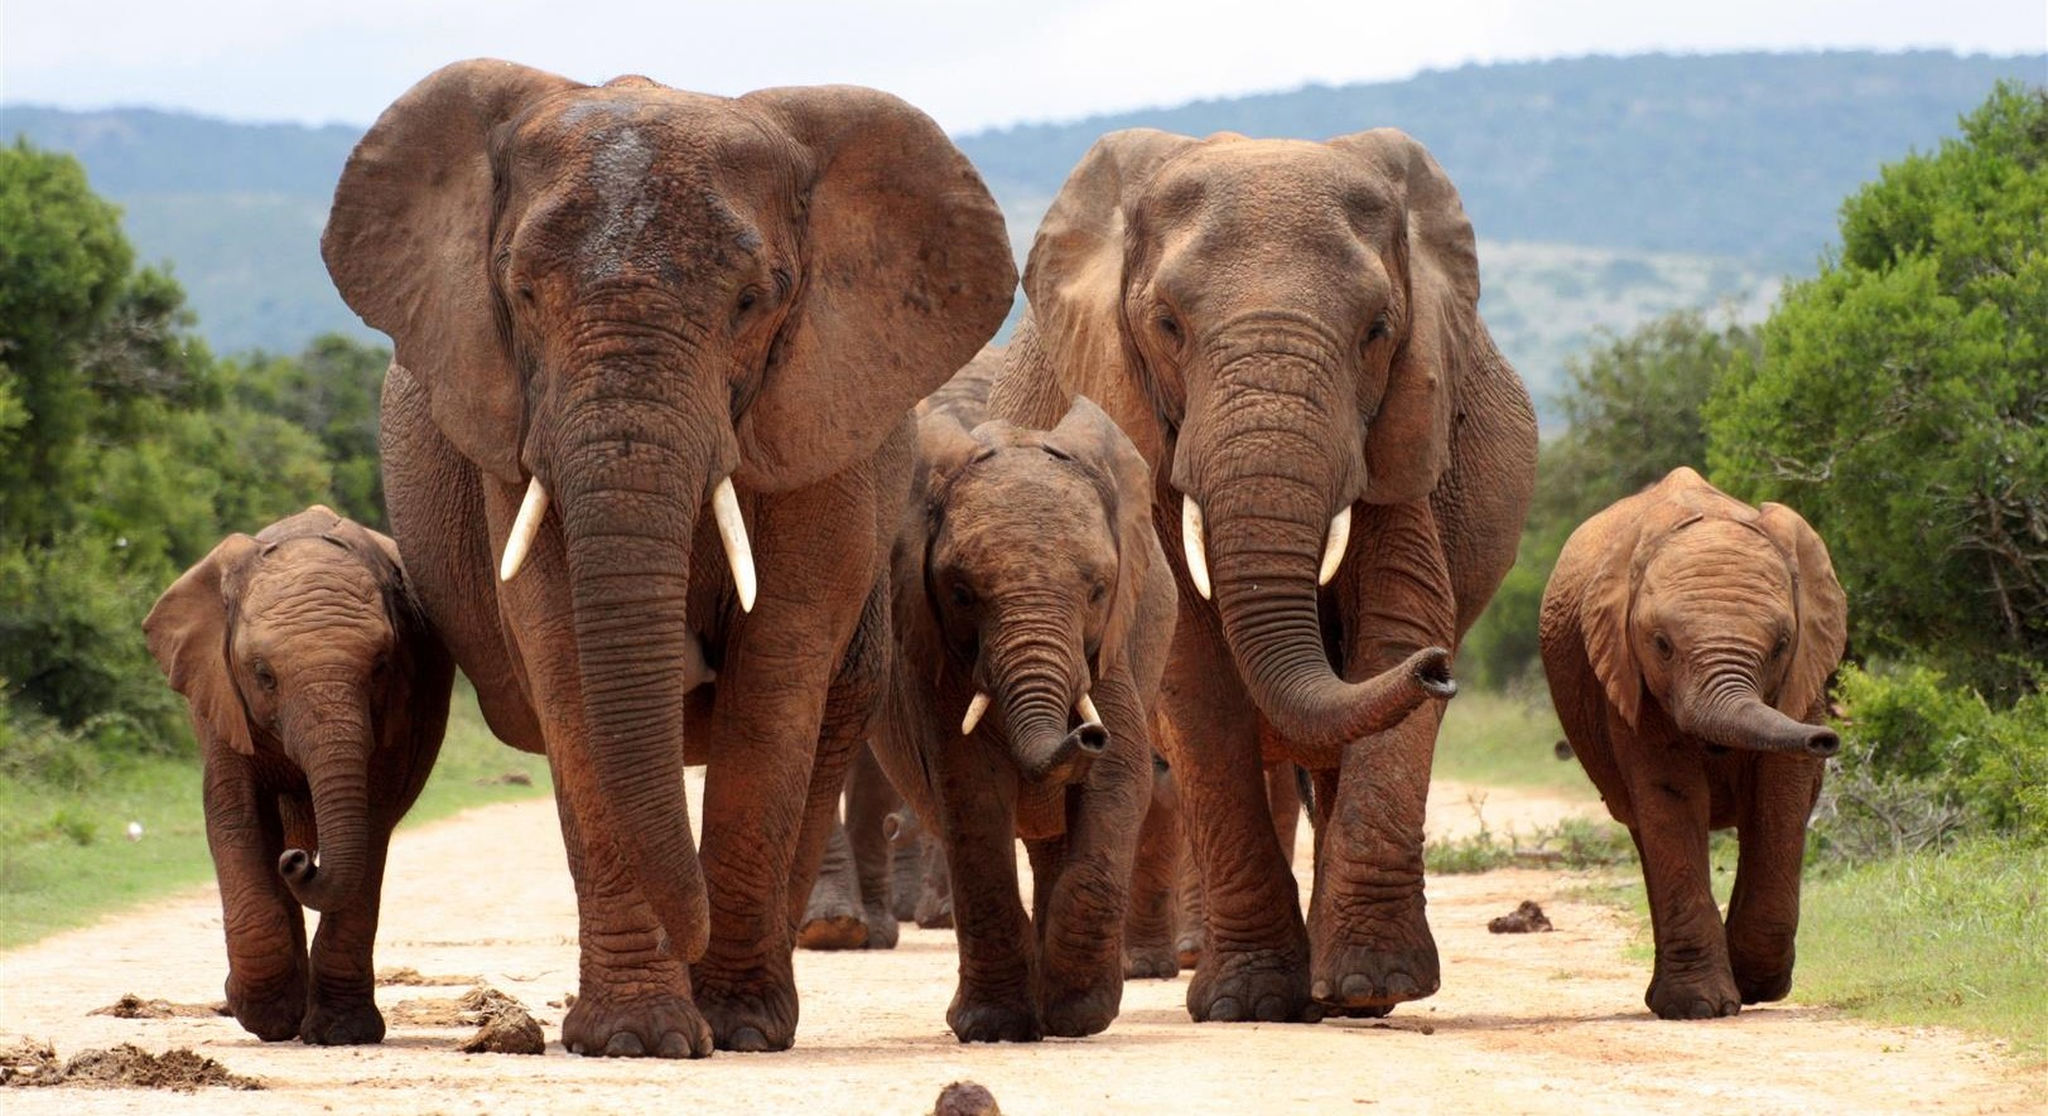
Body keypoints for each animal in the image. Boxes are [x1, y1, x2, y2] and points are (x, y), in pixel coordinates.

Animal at [146, 503, 458, 1044]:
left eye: (381, 666)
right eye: (262, 674)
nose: (298, 860)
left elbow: (370, 827)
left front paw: (340, 1032)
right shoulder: (220, 695)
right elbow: (236, 815)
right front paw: (267, 1018)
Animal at [319, 58, 1015, 1056]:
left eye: (752, 302)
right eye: (522, 295)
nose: (691, 936)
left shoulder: (821, 424)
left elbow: (778, 673)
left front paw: (733, 1027)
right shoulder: (514, 433)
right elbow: (566, 663)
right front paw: (636, 1038)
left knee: (830, 715)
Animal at [978, 128, 1540, 1019]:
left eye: (1379, 329)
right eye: (1167, 325)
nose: (1443, 670)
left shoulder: (1404, 433)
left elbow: (1395, 626)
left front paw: (1373, 987)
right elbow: (1195, 672)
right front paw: (1248, 1002)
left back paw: (1339, 994)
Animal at [1540, 466, 1859, 1019]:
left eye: (1781, 645)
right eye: (1662, 645)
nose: (1825, 739)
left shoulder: (1802, 678)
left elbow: (1779, 796)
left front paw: (1756, 986)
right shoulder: (1627, 677)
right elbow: (1672, 795)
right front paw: (1700, 1007)